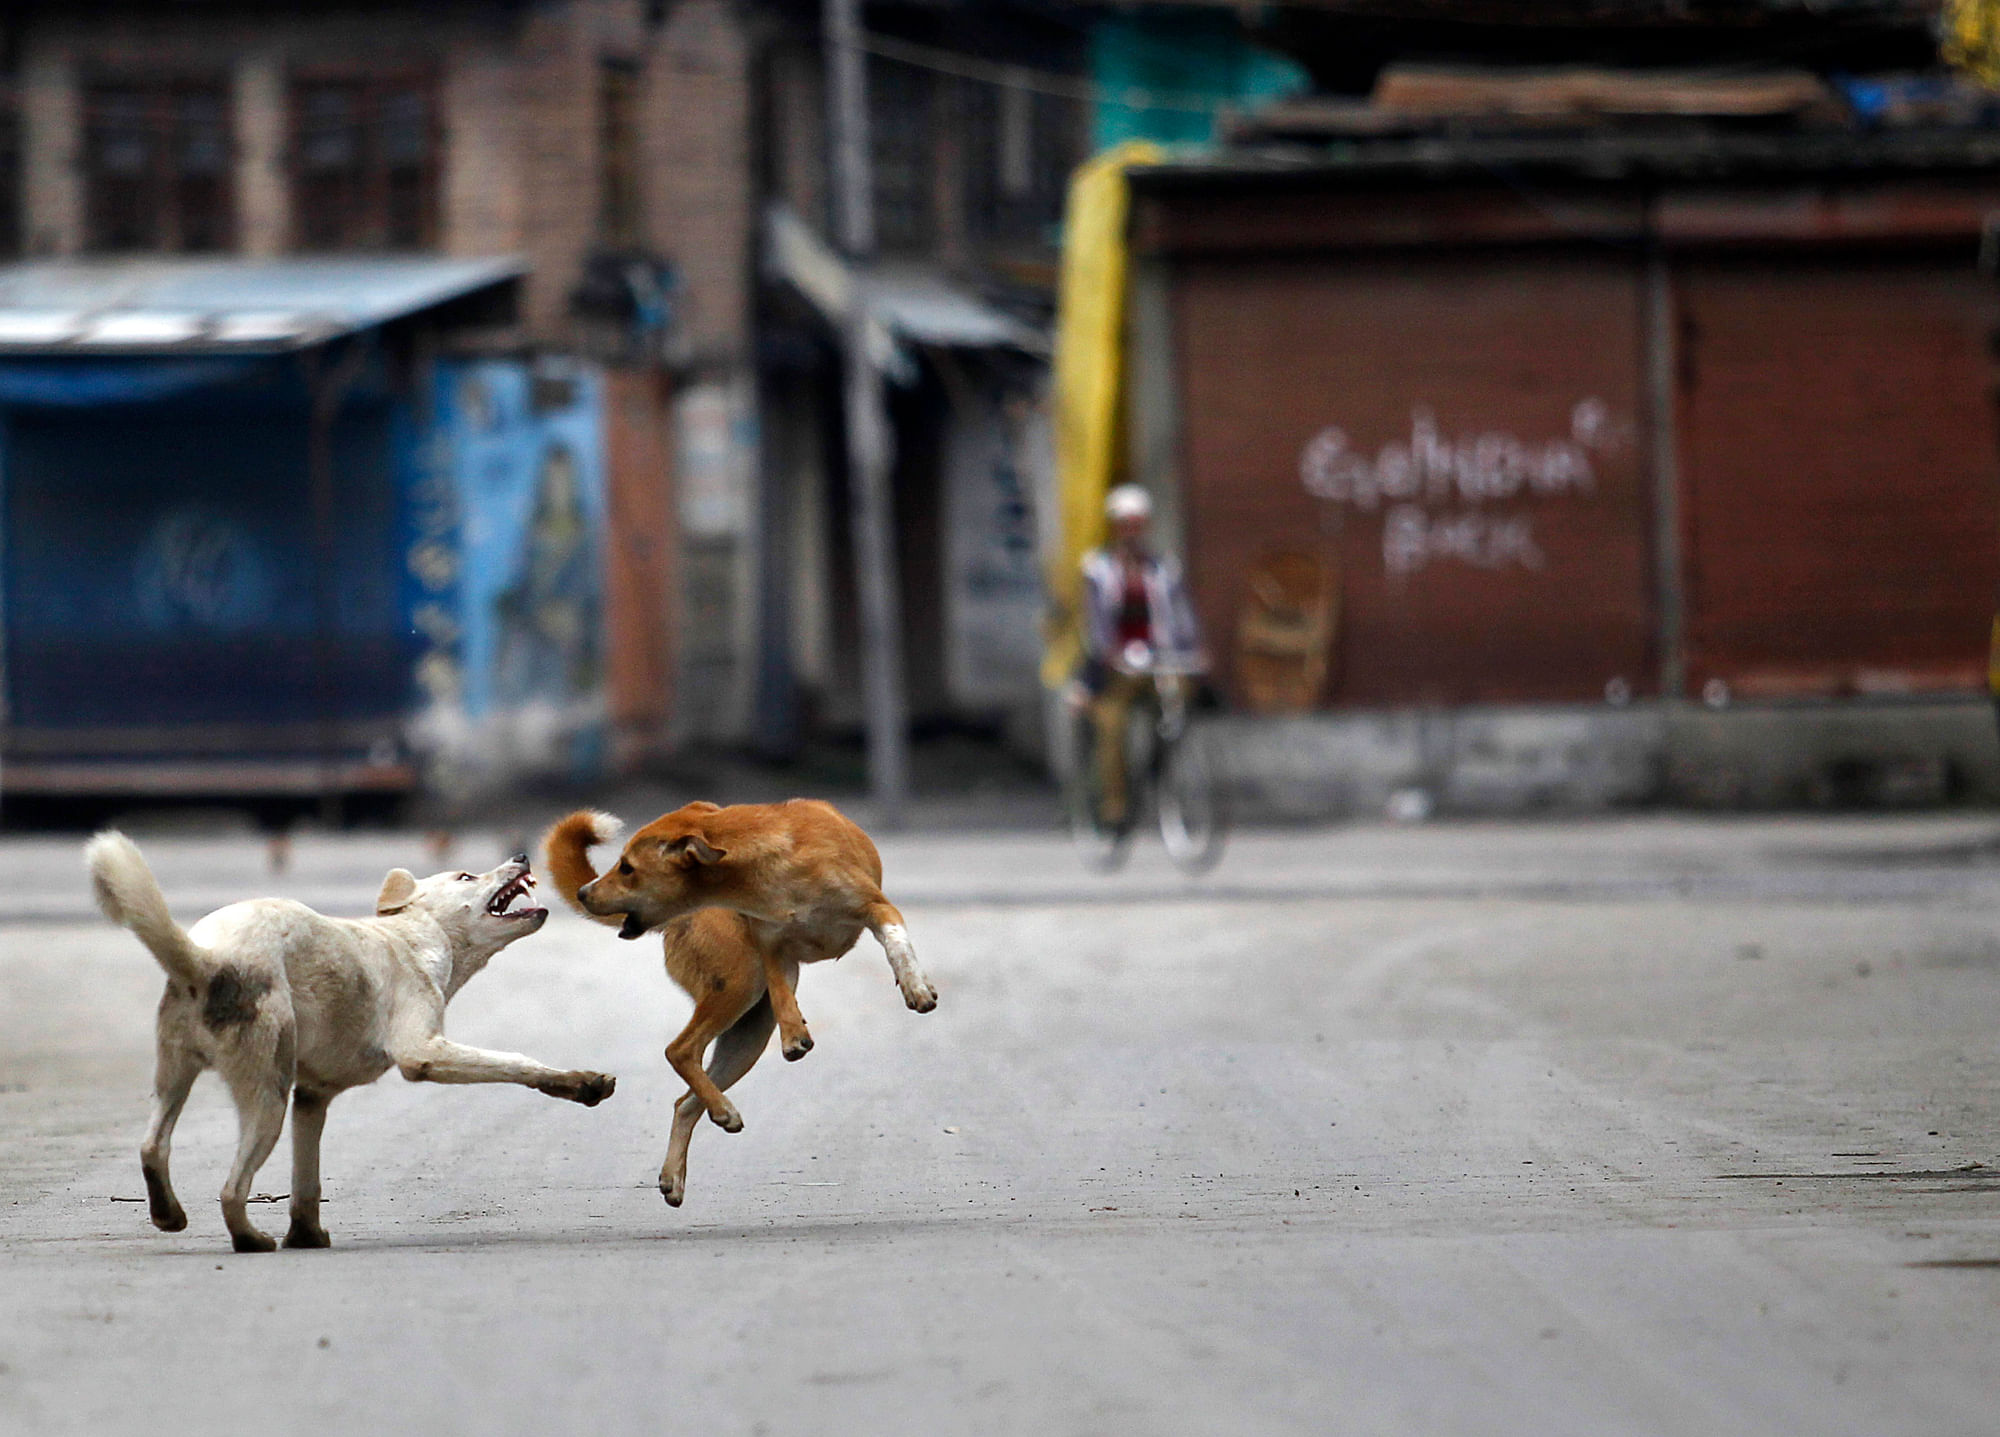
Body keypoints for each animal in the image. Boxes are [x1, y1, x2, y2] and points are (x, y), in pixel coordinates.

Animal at [86, 840, 612, 1256]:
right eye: (466, 876)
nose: (522, 854)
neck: (415, 938)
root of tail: (208, 959)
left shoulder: (312, 1097)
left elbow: (307, 1182)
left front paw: (305, 1236)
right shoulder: (423, 1051)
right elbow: (517, 1062)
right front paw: (580, 1084)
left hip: (175, 1074)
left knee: (152, 1146)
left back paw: (169, 1214)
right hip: (267, 1093)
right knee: (231, 1191)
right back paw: (250, 1240)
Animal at [540, 800, 928, 1200]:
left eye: (627, 867)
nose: (584, 891)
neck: (773, 870)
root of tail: (681, 919)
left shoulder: (877, 907)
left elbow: (896, 941)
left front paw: (915, 986)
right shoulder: (772, 947)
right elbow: (782, 991)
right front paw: (793, 1033)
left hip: (746, 1034)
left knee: (684, 1101)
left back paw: (682, 1164)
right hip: (741, 986)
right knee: (680, 1051)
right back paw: (723, 1110)